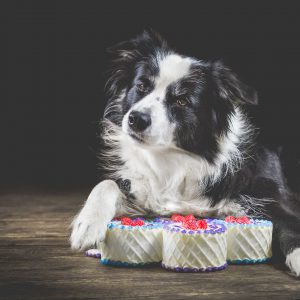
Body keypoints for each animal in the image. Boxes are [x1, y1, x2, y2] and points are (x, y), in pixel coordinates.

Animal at [71, 30, 300, 276]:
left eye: (181, 101)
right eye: (141, 86)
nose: (136, 119)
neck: (177, 160)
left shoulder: (272, 196)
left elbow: (289, 223)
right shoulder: (145, 199)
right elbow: (106, 184)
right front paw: (88, 223)